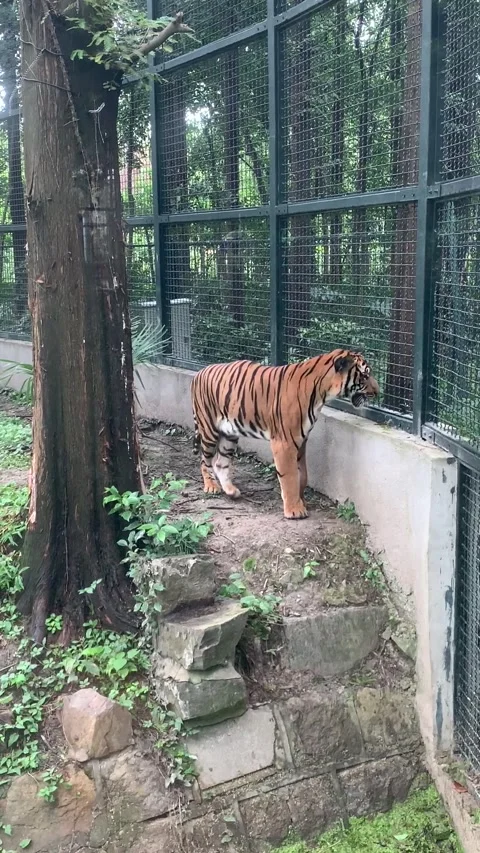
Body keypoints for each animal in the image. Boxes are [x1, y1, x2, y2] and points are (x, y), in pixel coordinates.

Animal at [191, 349, 379, 520]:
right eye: (364, 376)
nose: (377, 392)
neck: (321, 394)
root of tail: (200, 372)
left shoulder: (301, 440)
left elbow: (302, 474)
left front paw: (301, 500)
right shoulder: (285, 442)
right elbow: (289, 475)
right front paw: (295, 510)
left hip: (229, 434)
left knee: (220, 463)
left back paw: (231, 491)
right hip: (209, 429)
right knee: (204, 460)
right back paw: (211, 487)